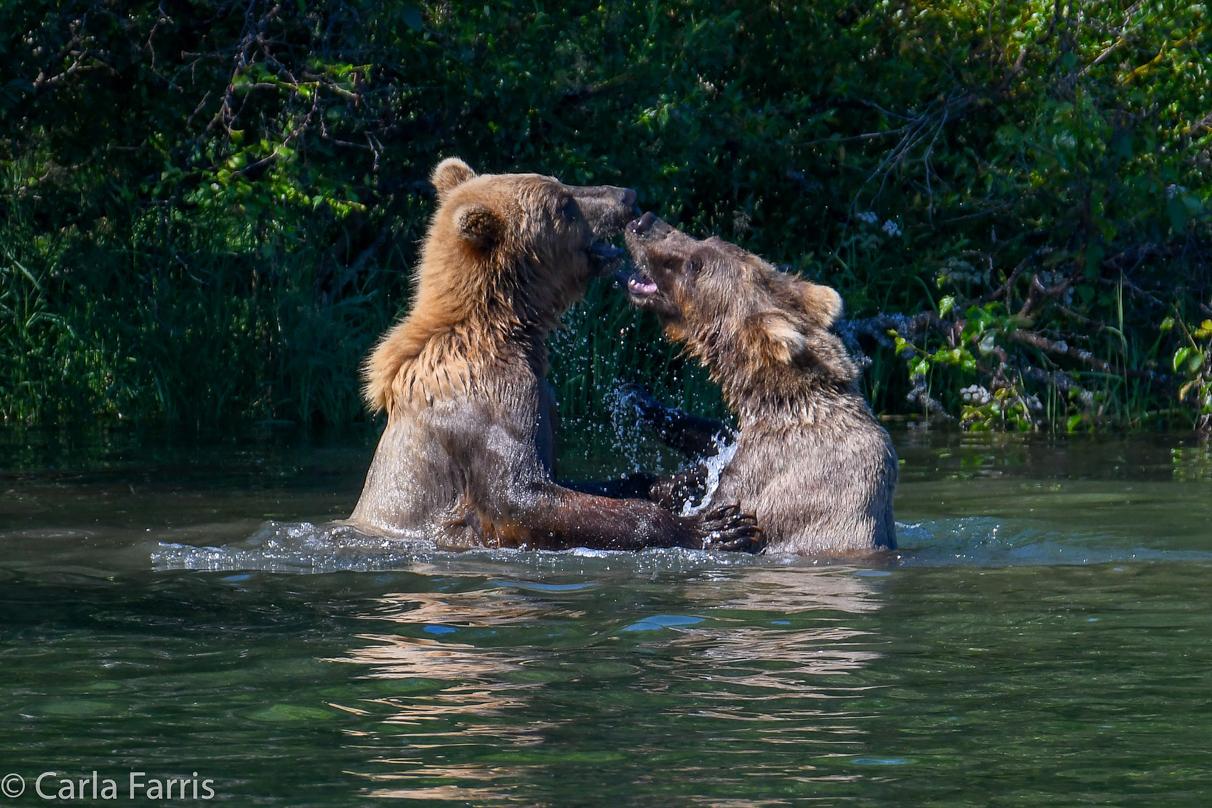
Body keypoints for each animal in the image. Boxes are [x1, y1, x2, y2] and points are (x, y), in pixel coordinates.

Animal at [341, 161, 756, 552]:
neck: (503, 326)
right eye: (564, 204)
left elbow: (564, 481)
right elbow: (521, 494)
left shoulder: (542, 396)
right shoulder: (489, 402)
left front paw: (684, 479)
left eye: (561, 183)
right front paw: (711, 527)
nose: (627, 196)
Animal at [620, 211, 896, 559]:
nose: (644, 221)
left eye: (696, 264)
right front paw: (642, 400)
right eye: (708, 239)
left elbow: (725, 509)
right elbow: (715, 441)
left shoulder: (768, 477)